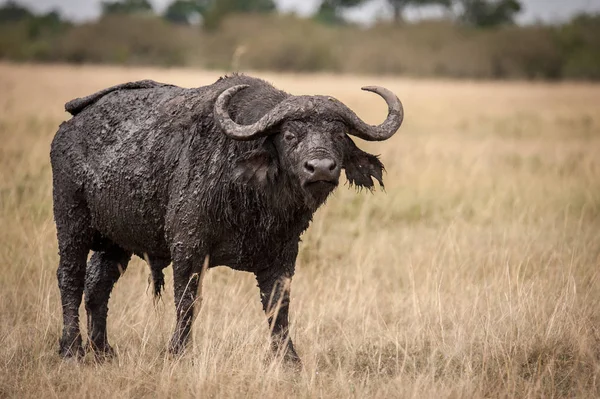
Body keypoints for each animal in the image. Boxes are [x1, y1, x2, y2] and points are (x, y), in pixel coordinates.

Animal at [51, 73, 406, 364]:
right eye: (290, 135)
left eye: (338, 134)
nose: (320, 168)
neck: (255, 197)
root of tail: (69, 126)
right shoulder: (188, 247)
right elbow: (187, 301)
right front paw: (178, 353)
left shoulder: (282, 255)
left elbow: (278, 308)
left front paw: (288, 360)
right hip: (70, 222)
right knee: (70, 278)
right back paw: (71, 350)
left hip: (115, 241)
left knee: (98, 285)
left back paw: (103, 351)